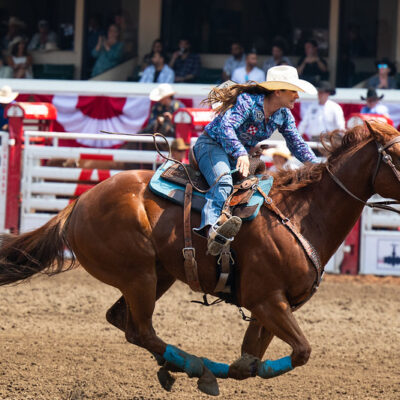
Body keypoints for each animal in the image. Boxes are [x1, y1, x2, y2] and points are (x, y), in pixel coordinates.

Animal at [0, 120, 400, 396]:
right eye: (395, 155)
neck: (300, 215)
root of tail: (79, 202)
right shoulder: (267, 301)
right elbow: (300, 351)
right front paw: (228, 369)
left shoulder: (271, 307)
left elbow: (253, 358)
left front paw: (241, 367)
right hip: (138, 276)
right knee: (141, 330)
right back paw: (197, 368)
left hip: (159, 275)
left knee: (123, 321)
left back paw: (178, 366)